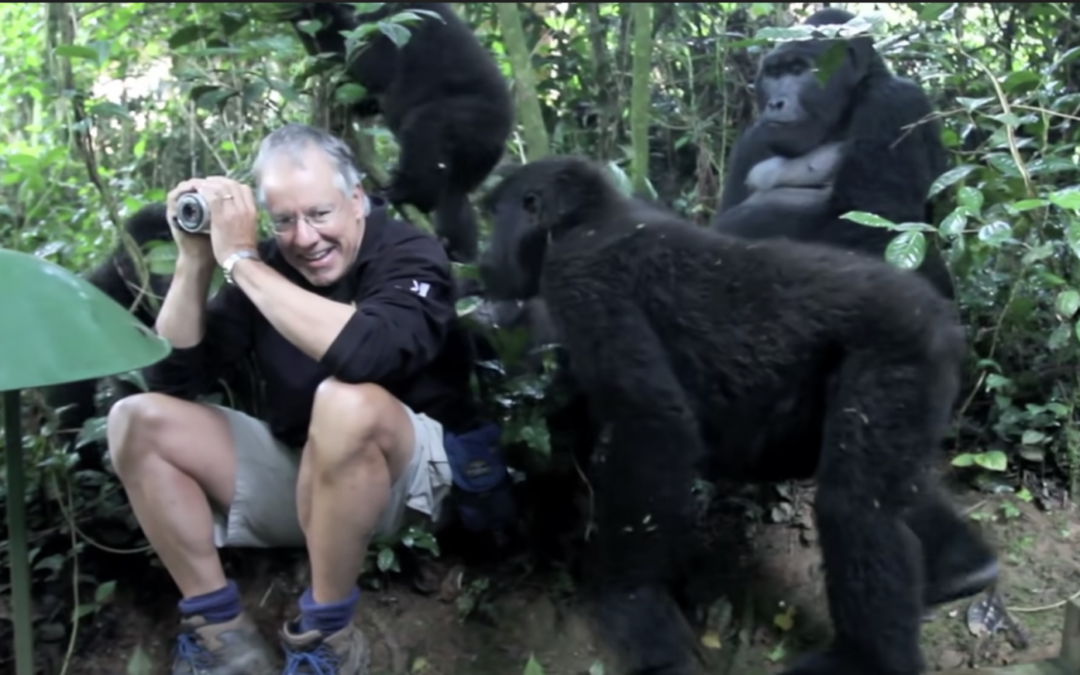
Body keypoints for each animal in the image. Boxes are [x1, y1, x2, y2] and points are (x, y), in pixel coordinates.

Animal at [280, 3, 511, 264]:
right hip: (474, 162)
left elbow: (368, 62)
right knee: (454, 194)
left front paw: (315, 10)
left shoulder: (399, 25)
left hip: (470, 120)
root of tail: (500, 139)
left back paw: (411, 193)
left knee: (424, 127)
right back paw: (458, 251)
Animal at [477, 155, 997, 673]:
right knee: (873, 480)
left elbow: (652, 423)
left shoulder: (580, 279)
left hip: (901, 353)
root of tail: (942, 317)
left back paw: (870, 661)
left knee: (854, 506)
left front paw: (632, 602)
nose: (485, 259)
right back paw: (962, 567)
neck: (587, 218)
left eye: (496, 216)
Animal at [717, 9, 954, 298]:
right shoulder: (753, 140)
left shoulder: (894, 101)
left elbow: (879, 228)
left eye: (798, 70)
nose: (775, 104)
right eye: (774, 74)